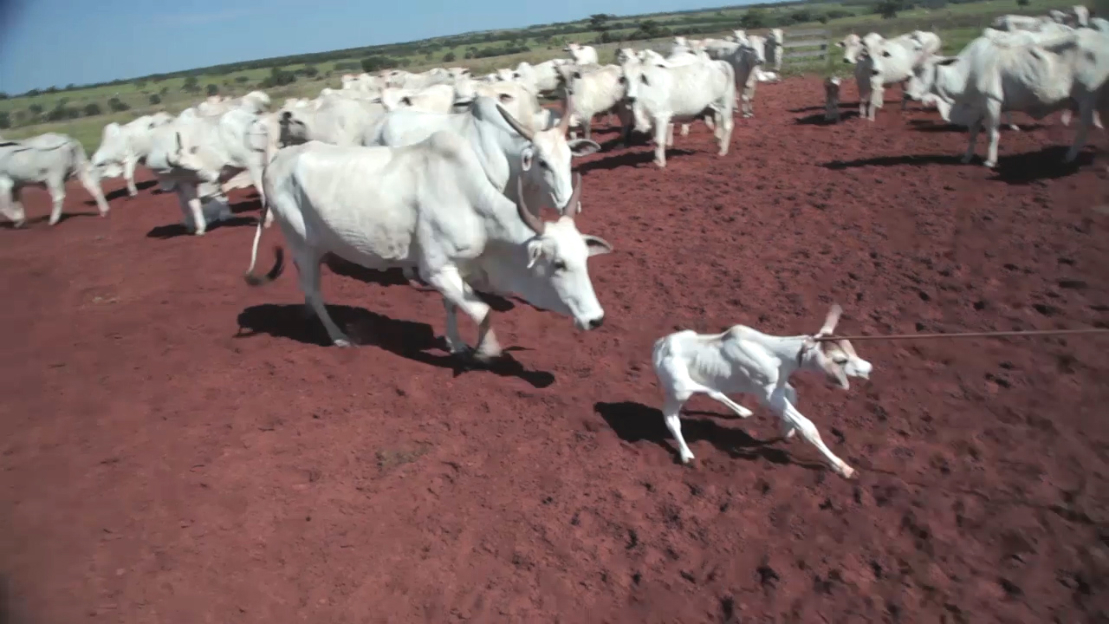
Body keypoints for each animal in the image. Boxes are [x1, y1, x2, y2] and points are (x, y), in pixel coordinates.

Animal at [243, 131, 612, 359]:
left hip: (312, 249)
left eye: (585, 259)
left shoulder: (455, 268)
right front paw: (486, 350)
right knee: (315, 290)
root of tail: (276, 161)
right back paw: (338, 336)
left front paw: (456, 344)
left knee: (307, 286)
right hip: (302, 243)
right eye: (559, 264)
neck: (473, 207)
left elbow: (453, 305)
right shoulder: (434, 269)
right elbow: (483, 310)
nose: (596, 319)